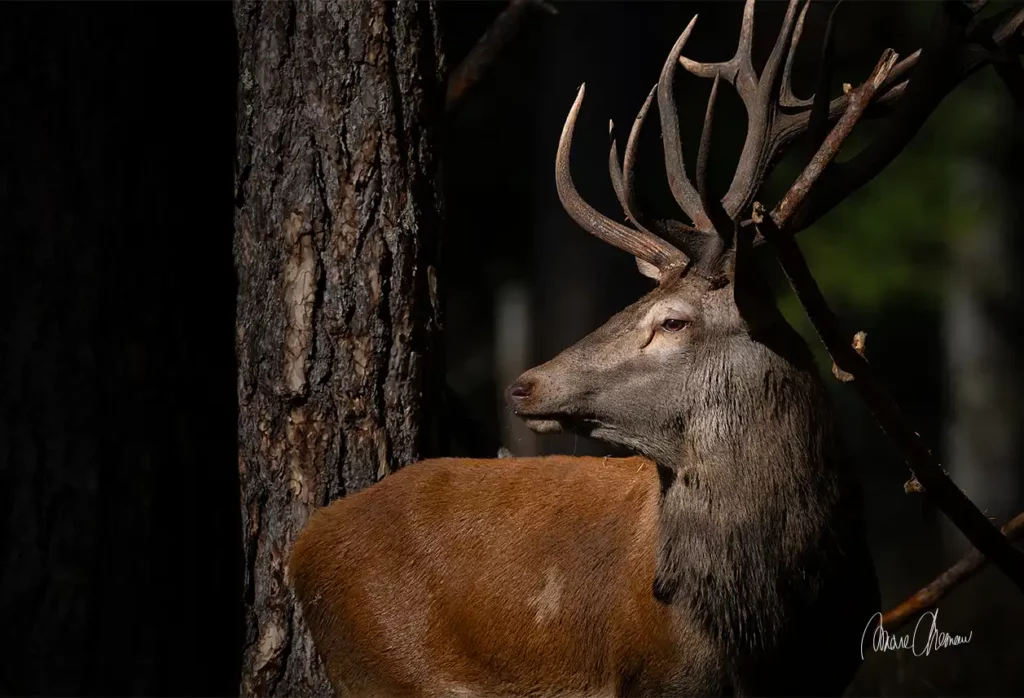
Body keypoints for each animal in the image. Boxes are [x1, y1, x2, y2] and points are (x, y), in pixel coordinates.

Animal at [288, 0, 1021, 694]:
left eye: (671, 322)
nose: (524, 384)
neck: (767, 633)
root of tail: (302, 545)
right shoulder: (651, 676)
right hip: (383, 668)